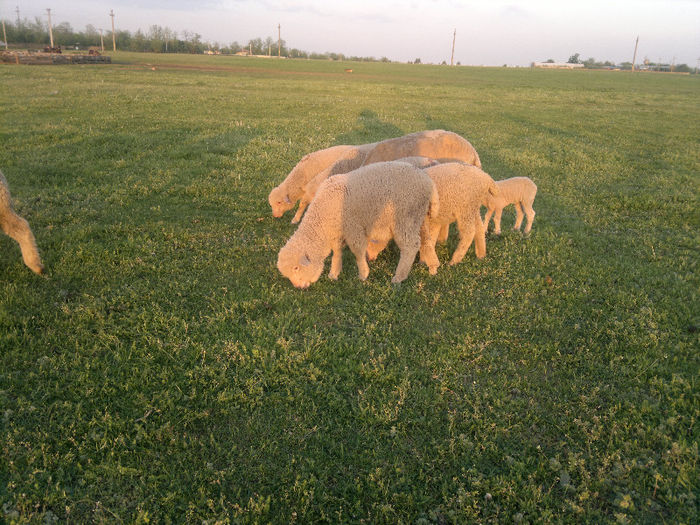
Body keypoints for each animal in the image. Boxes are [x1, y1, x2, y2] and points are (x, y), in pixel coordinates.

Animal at [278, 162, 438, 288]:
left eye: (296, 268)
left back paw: (399, 277)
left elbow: (358, 250)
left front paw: (363, 274)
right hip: (419, 217)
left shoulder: (353, 227)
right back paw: (433, 266)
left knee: (411, 245)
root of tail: (428, 182)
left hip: (404, 217)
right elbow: (337, 251)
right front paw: (334, 273)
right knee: (426, 240)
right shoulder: (337, 232)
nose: (298, 287)